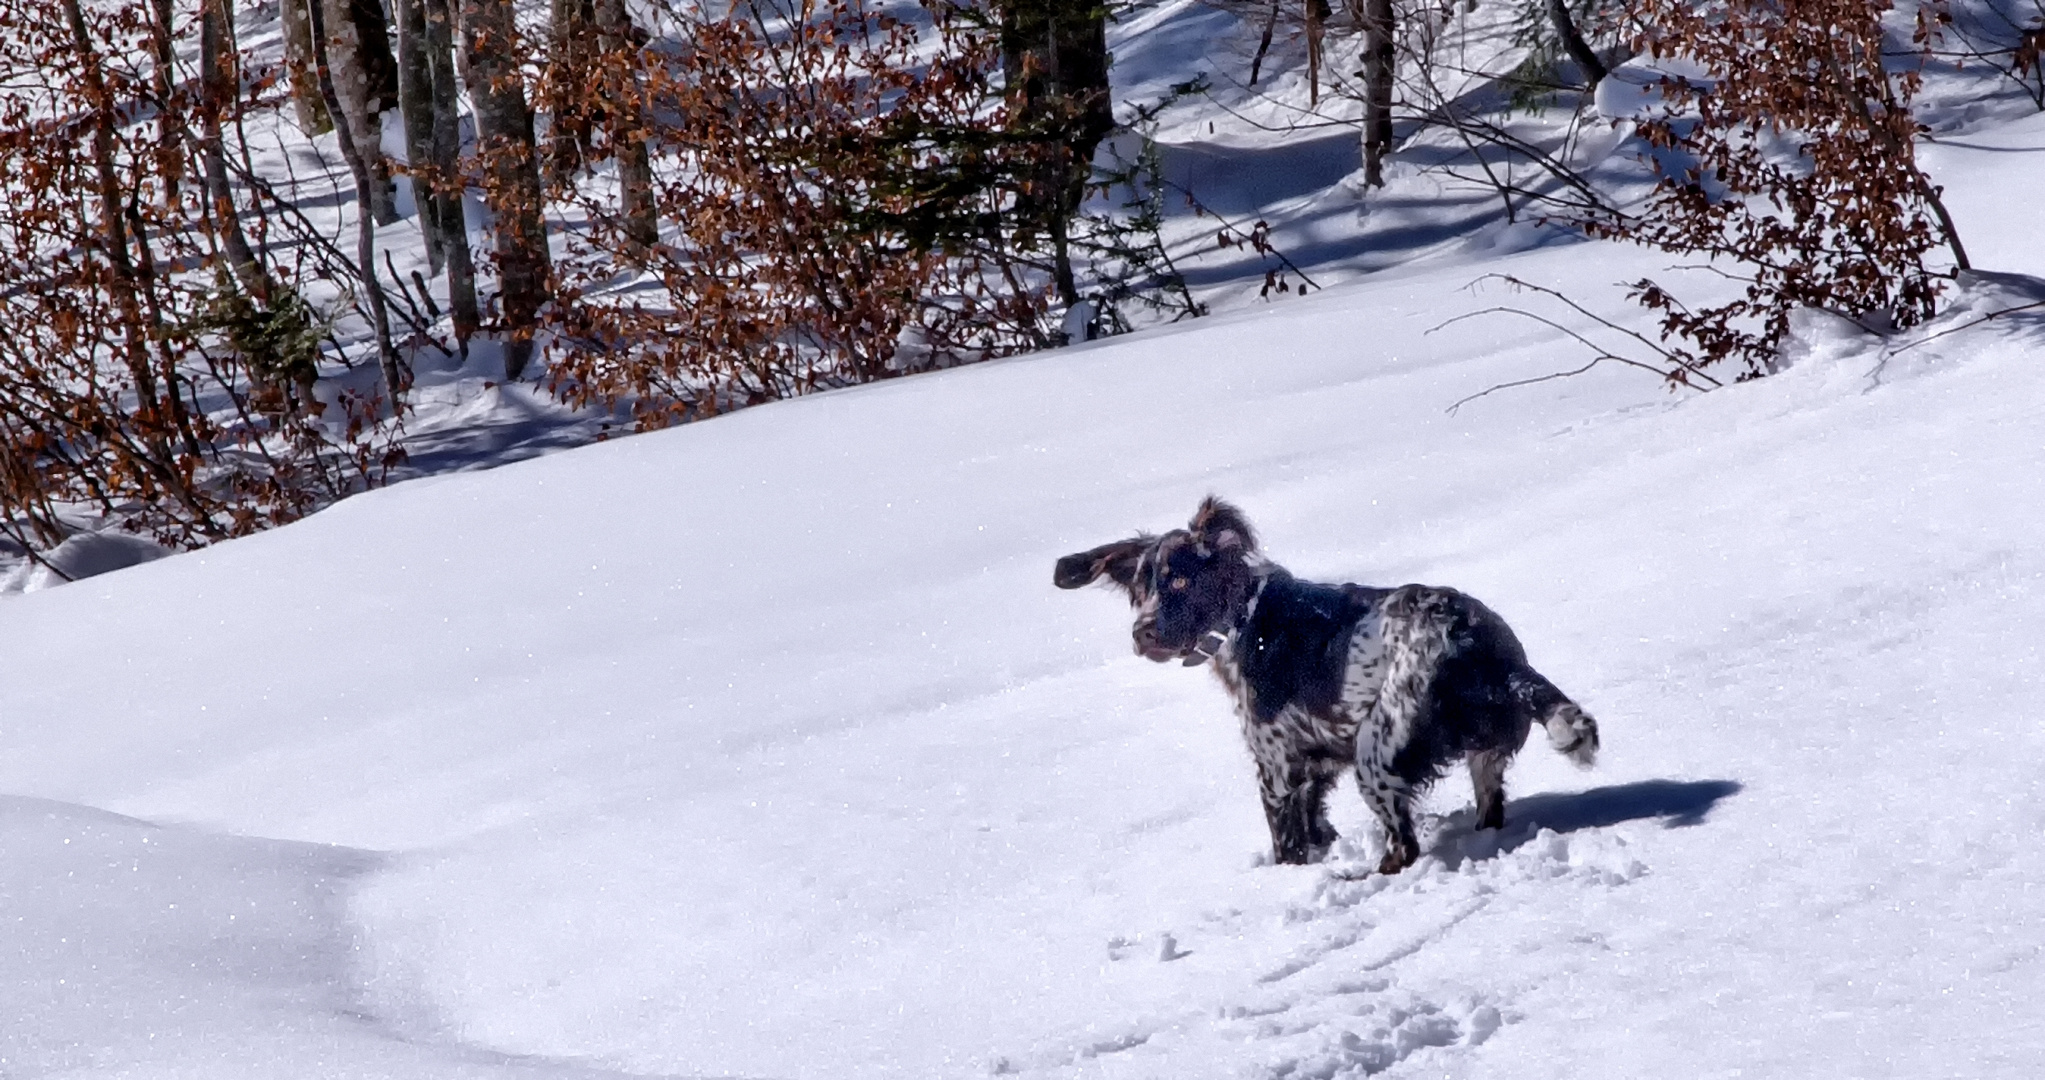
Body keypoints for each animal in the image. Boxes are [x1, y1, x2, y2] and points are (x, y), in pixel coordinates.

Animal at [1055, 501, 1595, 871]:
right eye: (1139, 590)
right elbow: (1317, 824)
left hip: (1375, 753)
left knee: (1403, 845)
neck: (1245, 619)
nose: (1142, 634)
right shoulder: (1315, 766)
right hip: (1480, 755)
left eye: (1181, 582)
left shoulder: (1275, 769)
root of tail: (1477, 642)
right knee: (1489, 807)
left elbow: (1288, 845)